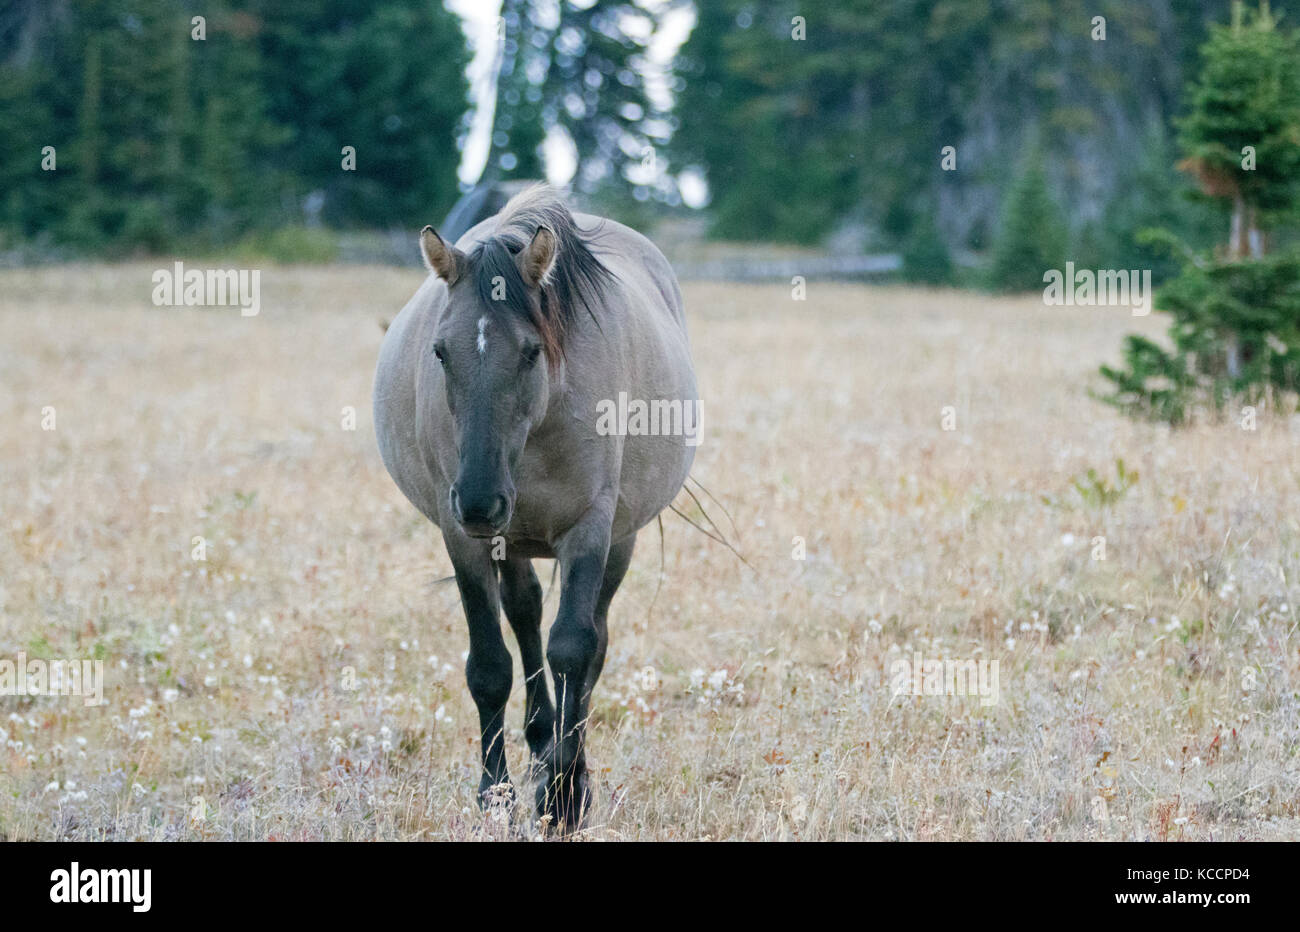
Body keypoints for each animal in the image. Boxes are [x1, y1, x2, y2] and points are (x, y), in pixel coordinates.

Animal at [374, 181, 702, 826]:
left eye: (530, 352)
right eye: (440, 352)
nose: (479, 500)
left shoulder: (590, 530)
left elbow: (574, 649)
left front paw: (565, 797)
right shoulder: (464, 538)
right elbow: (489, 666)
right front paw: (495, 793)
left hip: (616, 540)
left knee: (594, 639)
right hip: (512, 537)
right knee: (523, 611)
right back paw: (540, 738)